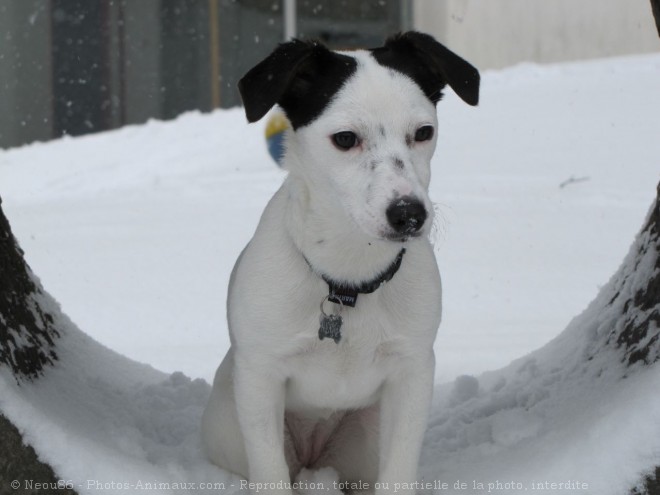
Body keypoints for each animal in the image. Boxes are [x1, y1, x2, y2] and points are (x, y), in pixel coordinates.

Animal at [201, 32, 480, 495]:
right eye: (346, 139)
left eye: (423, 132)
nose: (409, 214)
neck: (349, 277)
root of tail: (315, 455)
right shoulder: (260, 378)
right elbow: (270, 474)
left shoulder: (411, 374)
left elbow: (399, 473)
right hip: (233, 428)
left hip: (362, 442)